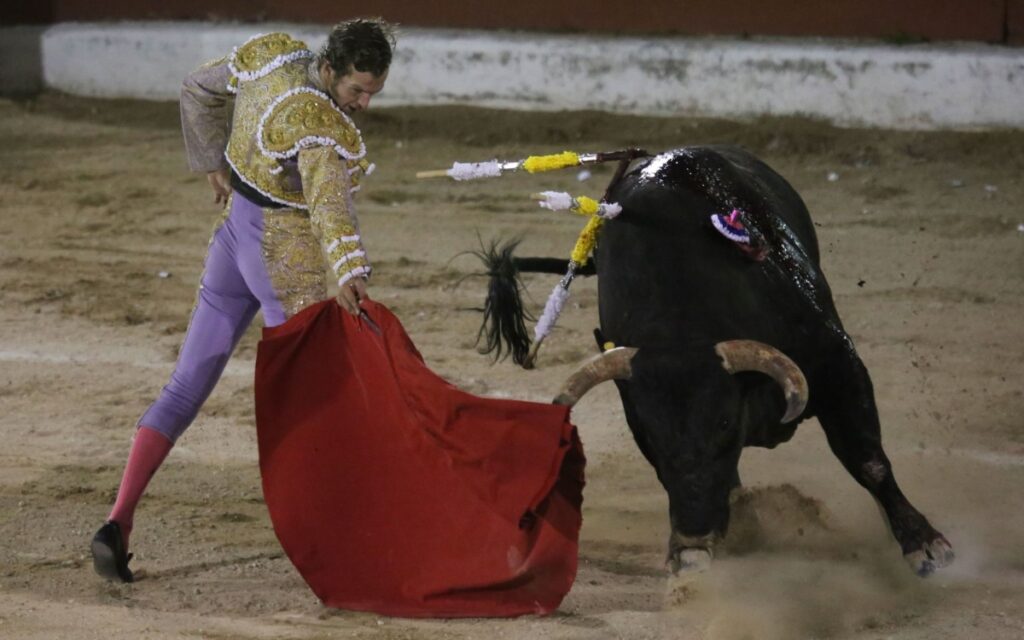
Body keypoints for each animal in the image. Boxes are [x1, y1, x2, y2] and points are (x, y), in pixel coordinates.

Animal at [475, 147, 954, 577]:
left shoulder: (837, 364)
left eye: (724, 422)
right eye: (650, 432)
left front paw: (924, 544)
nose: (692, 537)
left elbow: (867, 459)